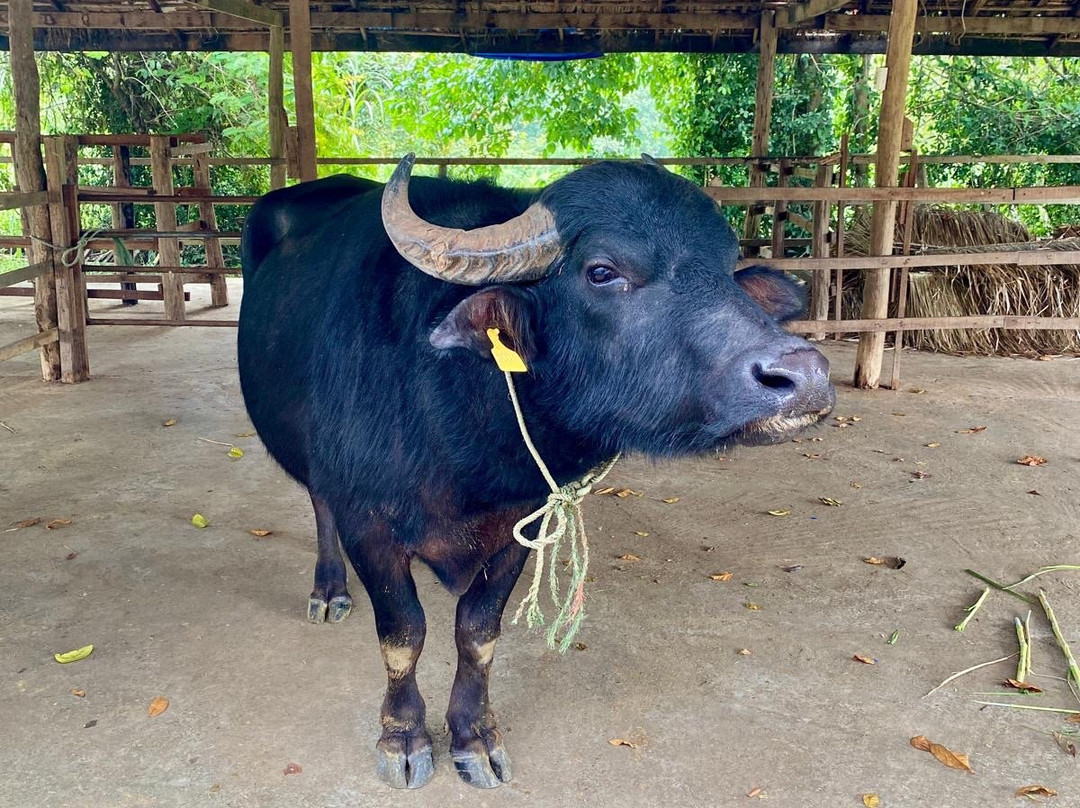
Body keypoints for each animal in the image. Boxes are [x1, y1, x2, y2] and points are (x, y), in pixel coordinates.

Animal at [237, 155, 834, 789]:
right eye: (602, 272)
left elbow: (477, 632)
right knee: (318, 501)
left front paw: (475, 736)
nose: (805, 375)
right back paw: (329, 590)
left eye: (724, 271)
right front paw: (403, 737)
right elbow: (404, 634)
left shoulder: (518, 526)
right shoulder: (368, 526)